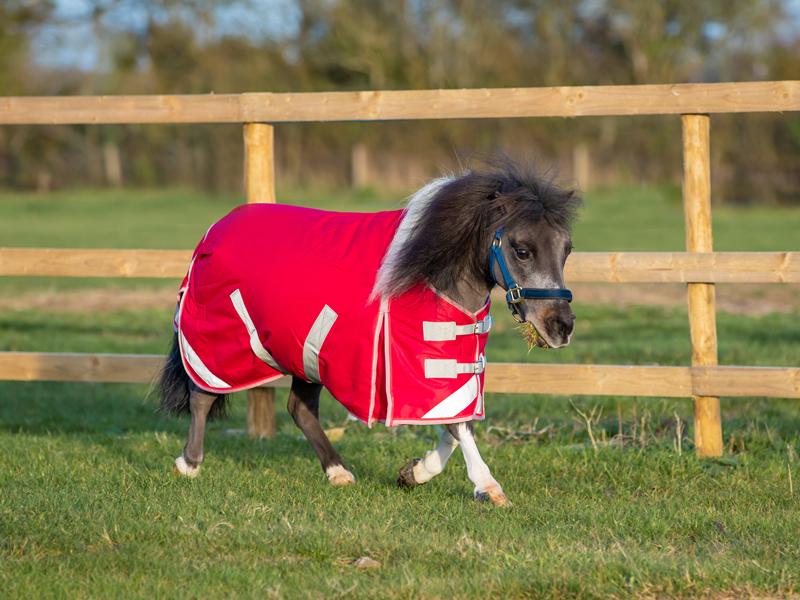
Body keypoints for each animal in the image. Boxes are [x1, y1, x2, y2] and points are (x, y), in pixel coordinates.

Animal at [159, 158, 578, 507]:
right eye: (522, 249)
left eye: (567, 249)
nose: (561, 326)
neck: (428, 271)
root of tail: (215, 231)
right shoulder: (415, 365)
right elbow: (456, 423)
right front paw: (488, 487)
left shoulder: (453, 362)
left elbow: (456, 419)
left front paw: (415, 472)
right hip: (220, 347)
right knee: (202, 394)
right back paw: (189, 463)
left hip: (307, 351)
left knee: (300, 409)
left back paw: (338, 472)